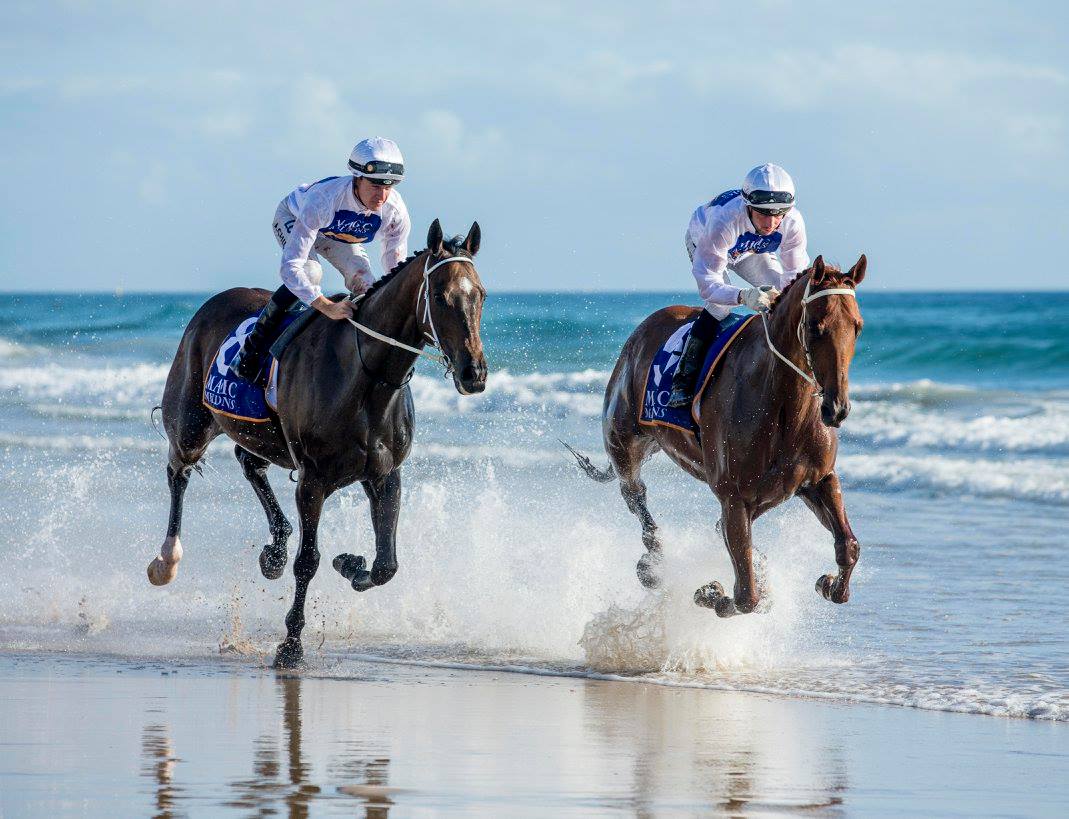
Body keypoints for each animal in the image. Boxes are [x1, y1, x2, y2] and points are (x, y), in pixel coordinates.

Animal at [147, 220, 489, 667]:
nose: (474, 374)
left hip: (259, 432)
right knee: (179, 471)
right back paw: (166, 559)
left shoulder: (385, 474)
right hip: (190, 422)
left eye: (480, 294)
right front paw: (291, 646)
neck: (366, 377)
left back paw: (273, 550)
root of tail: (211, 305)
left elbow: (386, 564)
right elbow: (308, 561)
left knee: (249, 462)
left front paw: (350, 564)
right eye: (440, 296)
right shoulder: (312, 480)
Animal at [572, 256, 863, 615]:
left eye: (857, 326)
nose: (836, 409)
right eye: (815, 327)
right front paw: (711, 593)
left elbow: (848, 545)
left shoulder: (818, 480)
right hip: (625, 445)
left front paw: (829, 583)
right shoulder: (733, 497)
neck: (783, 408)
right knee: (636, 497)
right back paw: (652, 565)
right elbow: (746, 597)